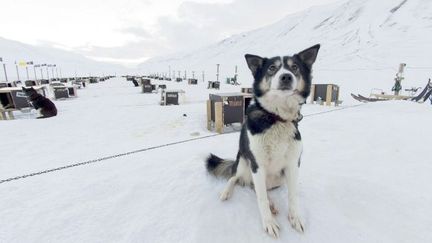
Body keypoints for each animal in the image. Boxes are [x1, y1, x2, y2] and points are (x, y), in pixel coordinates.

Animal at [206, 44, 320, 238]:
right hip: (244, 162)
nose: (286, 76)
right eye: (272, 68)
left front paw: (295, 218)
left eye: (294, 67)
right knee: (236, 178)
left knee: (257, 188)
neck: (276, 118)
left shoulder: (292, 164)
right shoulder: (257, 165)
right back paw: (227, 192)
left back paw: (273, 203)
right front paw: (269, 223)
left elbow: (292, 195)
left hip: (278, 178)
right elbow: (261, 199)